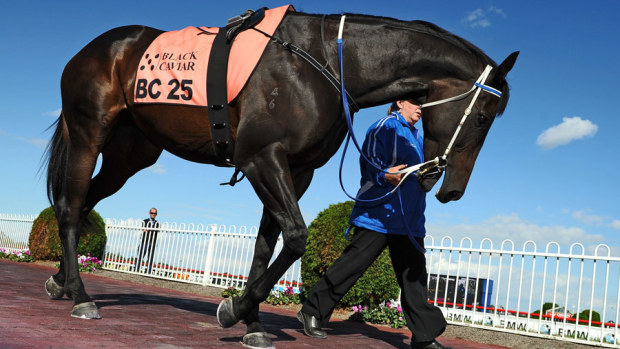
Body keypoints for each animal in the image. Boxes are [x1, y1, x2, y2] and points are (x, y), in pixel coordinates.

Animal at [44, 8, 520, 348]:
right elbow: (295, 236)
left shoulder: (297, 169)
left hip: (132, 152)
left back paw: (61, 281)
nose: (450, 189)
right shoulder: (262, 158)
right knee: (69, 207)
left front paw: (250, 318)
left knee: (85, 204)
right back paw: (82, 296)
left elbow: (266, 244)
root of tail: (90, 51)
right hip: (89, 134)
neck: (326, 63)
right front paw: (235, 309)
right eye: (482, 118)